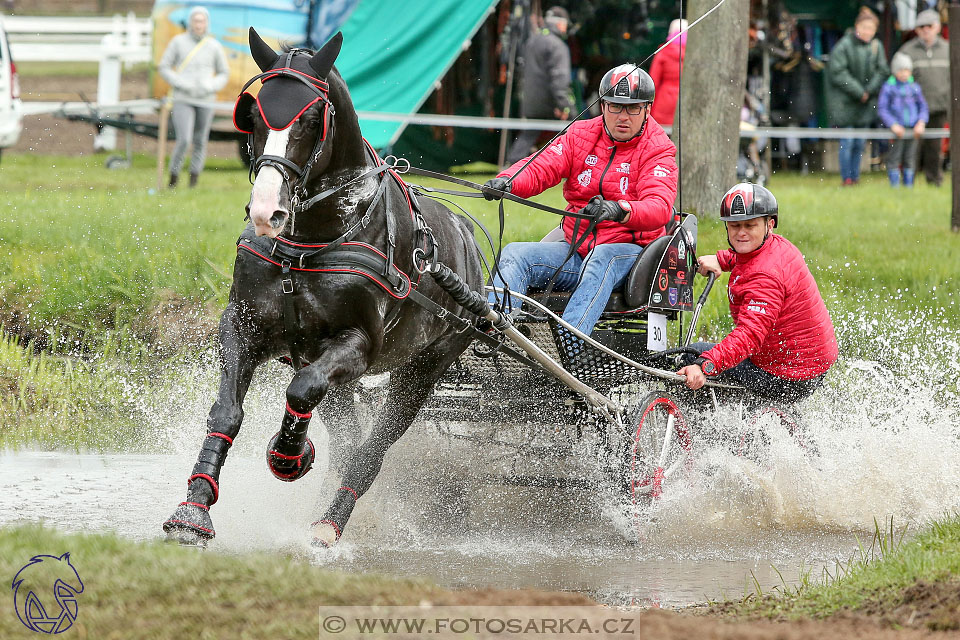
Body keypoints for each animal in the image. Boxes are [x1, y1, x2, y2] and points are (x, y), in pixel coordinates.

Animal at [162, 30, 488, 548]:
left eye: (312, 118)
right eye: (254, 115)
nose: (266, 211)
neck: (307, 243)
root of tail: (469, 240)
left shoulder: (359, 344)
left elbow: (300, 391)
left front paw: (289, 455)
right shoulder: (244, 324)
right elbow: (227, 411)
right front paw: (193, 510)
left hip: (423, 369)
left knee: (370, 450)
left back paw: (329, 523)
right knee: (348, 439)